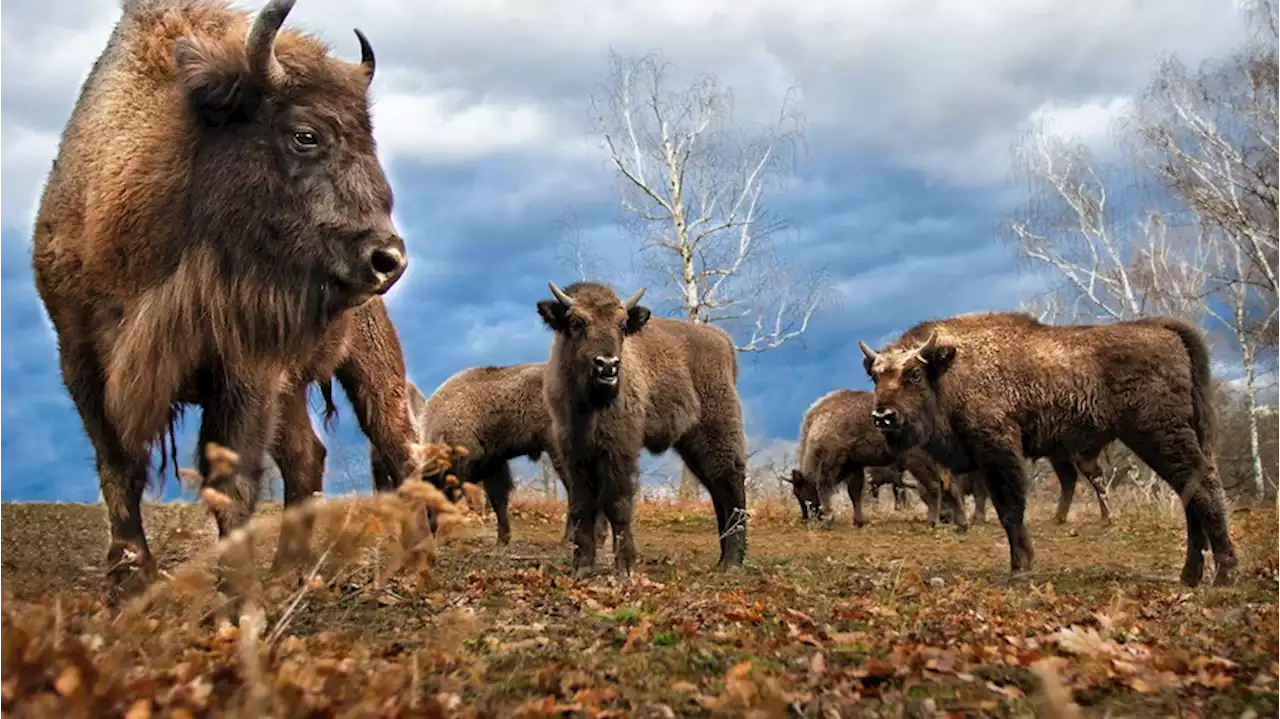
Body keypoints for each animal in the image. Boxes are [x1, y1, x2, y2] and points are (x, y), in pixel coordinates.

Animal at [31, 0, 409, 593]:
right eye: (306, 135)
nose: (387, 258)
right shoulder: (83, 360)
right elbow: (119, 465)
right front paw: (131, 575)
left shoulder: (244, 370)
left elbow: (231, 481)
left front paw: (235, 589)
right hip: (293, 388)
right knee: (306, 456)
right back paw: (289, 571)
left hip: (369, 362)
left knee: (399, 442)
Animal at [404, 363, 614, 542]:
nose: (425, 530)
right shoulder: (493, 465)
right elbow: (499, 499)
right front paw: (502, 539)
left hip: (560, 453)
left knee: (576, 491)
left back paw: (571, 538)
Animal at [532, 280, 747, 575]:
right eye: (576, 322)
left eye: (622, 325)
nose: (608, 365)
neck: (589, 404)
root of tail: (722, 341)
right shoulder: (574, 452)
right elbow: (581, 505)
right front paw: (582, 567)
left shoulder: (620, 449)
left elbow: (617, 504)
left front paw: (625, 567)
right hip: (692, 445)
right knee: (717, 488)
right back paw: (723, 558)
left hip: (718, 432)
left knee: (731, 481)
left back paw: (734, 561)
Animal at [783, 386, 962, 527]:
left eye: (802, 492)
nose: (807, 518)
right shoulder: (854, 466)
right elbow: (855, 493)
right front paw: (858, 521)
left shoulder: (831, 464)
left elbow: (824, 488)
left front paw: (829, 519)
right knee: (950, 485)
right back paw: (960, 523)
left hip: (916, 462)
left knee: (934, 486)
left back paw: (933, 522)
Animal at [860, 310, 1239, 585]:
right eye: (876, 377)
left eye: (913, 375)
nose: (883, 416)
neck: (948, 370)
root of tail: (1162, 328)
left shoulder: (998, 449)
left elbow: (1010, 509)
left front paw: (1020, 567)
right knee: (1191, 493)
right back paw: (1190, 574)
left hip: (1158, 435)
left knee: (1202, 486)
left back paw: (1224, 573)